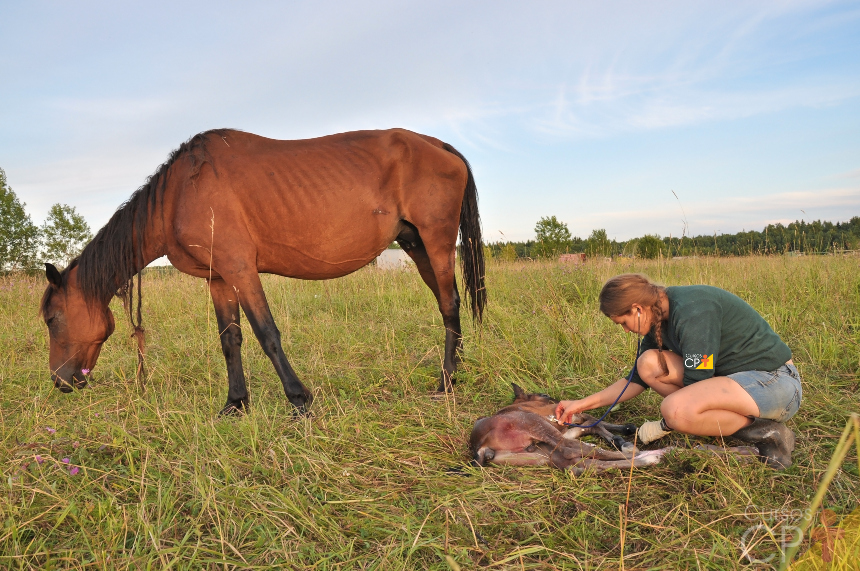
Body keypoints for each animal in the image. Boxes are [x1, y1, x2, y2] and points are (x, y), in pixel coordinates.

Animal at [40, 130, 484, 416]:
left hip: (437, 242)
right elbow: (230, 340)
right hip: (416, 246)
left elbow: (266, 333)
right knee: (447, 305)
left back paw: (446, 382)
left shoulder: (240, 269)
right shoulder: (218, 278)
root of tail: (440, 146)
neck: (180, 194)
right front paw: (235, 404)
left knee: (450, 303)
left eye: (52, 318)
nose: (60, 382)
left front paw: (299, 400)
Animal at [470, 386, 672, 476]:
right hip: (538, 427)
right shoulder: (566, 420)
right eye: (543, 394)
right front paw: (623, 438)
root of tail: (479, 447)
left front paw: (625, 433)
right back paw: (652, 454)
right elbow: (593, 420)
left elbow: (594, 422)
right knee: (573, 449)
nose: (552, 398)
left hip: (542, 454)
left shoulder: (569, 425)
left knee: (586, 464)